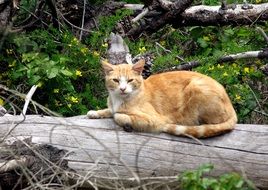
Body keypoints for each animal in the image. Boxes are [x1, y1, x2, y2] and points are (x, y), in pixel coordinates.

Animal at [87, 59, 237, 138]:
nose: (123, 89)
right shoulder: (112, 106)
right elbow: (109, 111)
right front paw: (95, 113)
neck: (118, 99)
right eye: (116, 80)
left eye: (130, 80)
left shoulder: (154, 120)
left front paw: (126, 122)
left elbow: (118, 115)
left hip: (197, 87)